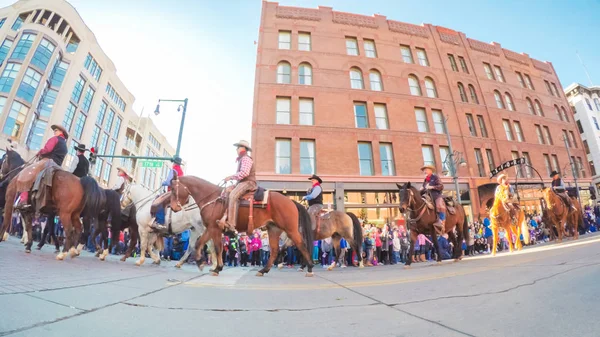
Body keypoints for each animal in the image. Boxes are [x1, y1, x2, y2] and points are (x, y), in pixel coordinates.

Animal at [169, 173, 314, 276]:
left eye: (173, 189)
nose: (173, 207)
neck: (212, 199)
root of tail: (291, 201)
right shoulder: (213, 229)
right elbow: (209, 245)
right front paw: (210, 266)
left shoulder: (213, 228)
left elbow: (210, 246)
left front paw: (209, 265)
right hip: (274, 229)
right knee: (274, 250)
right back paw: (263, 270)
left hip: (290, 229)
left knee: (301, 244)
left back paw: (310, 268)